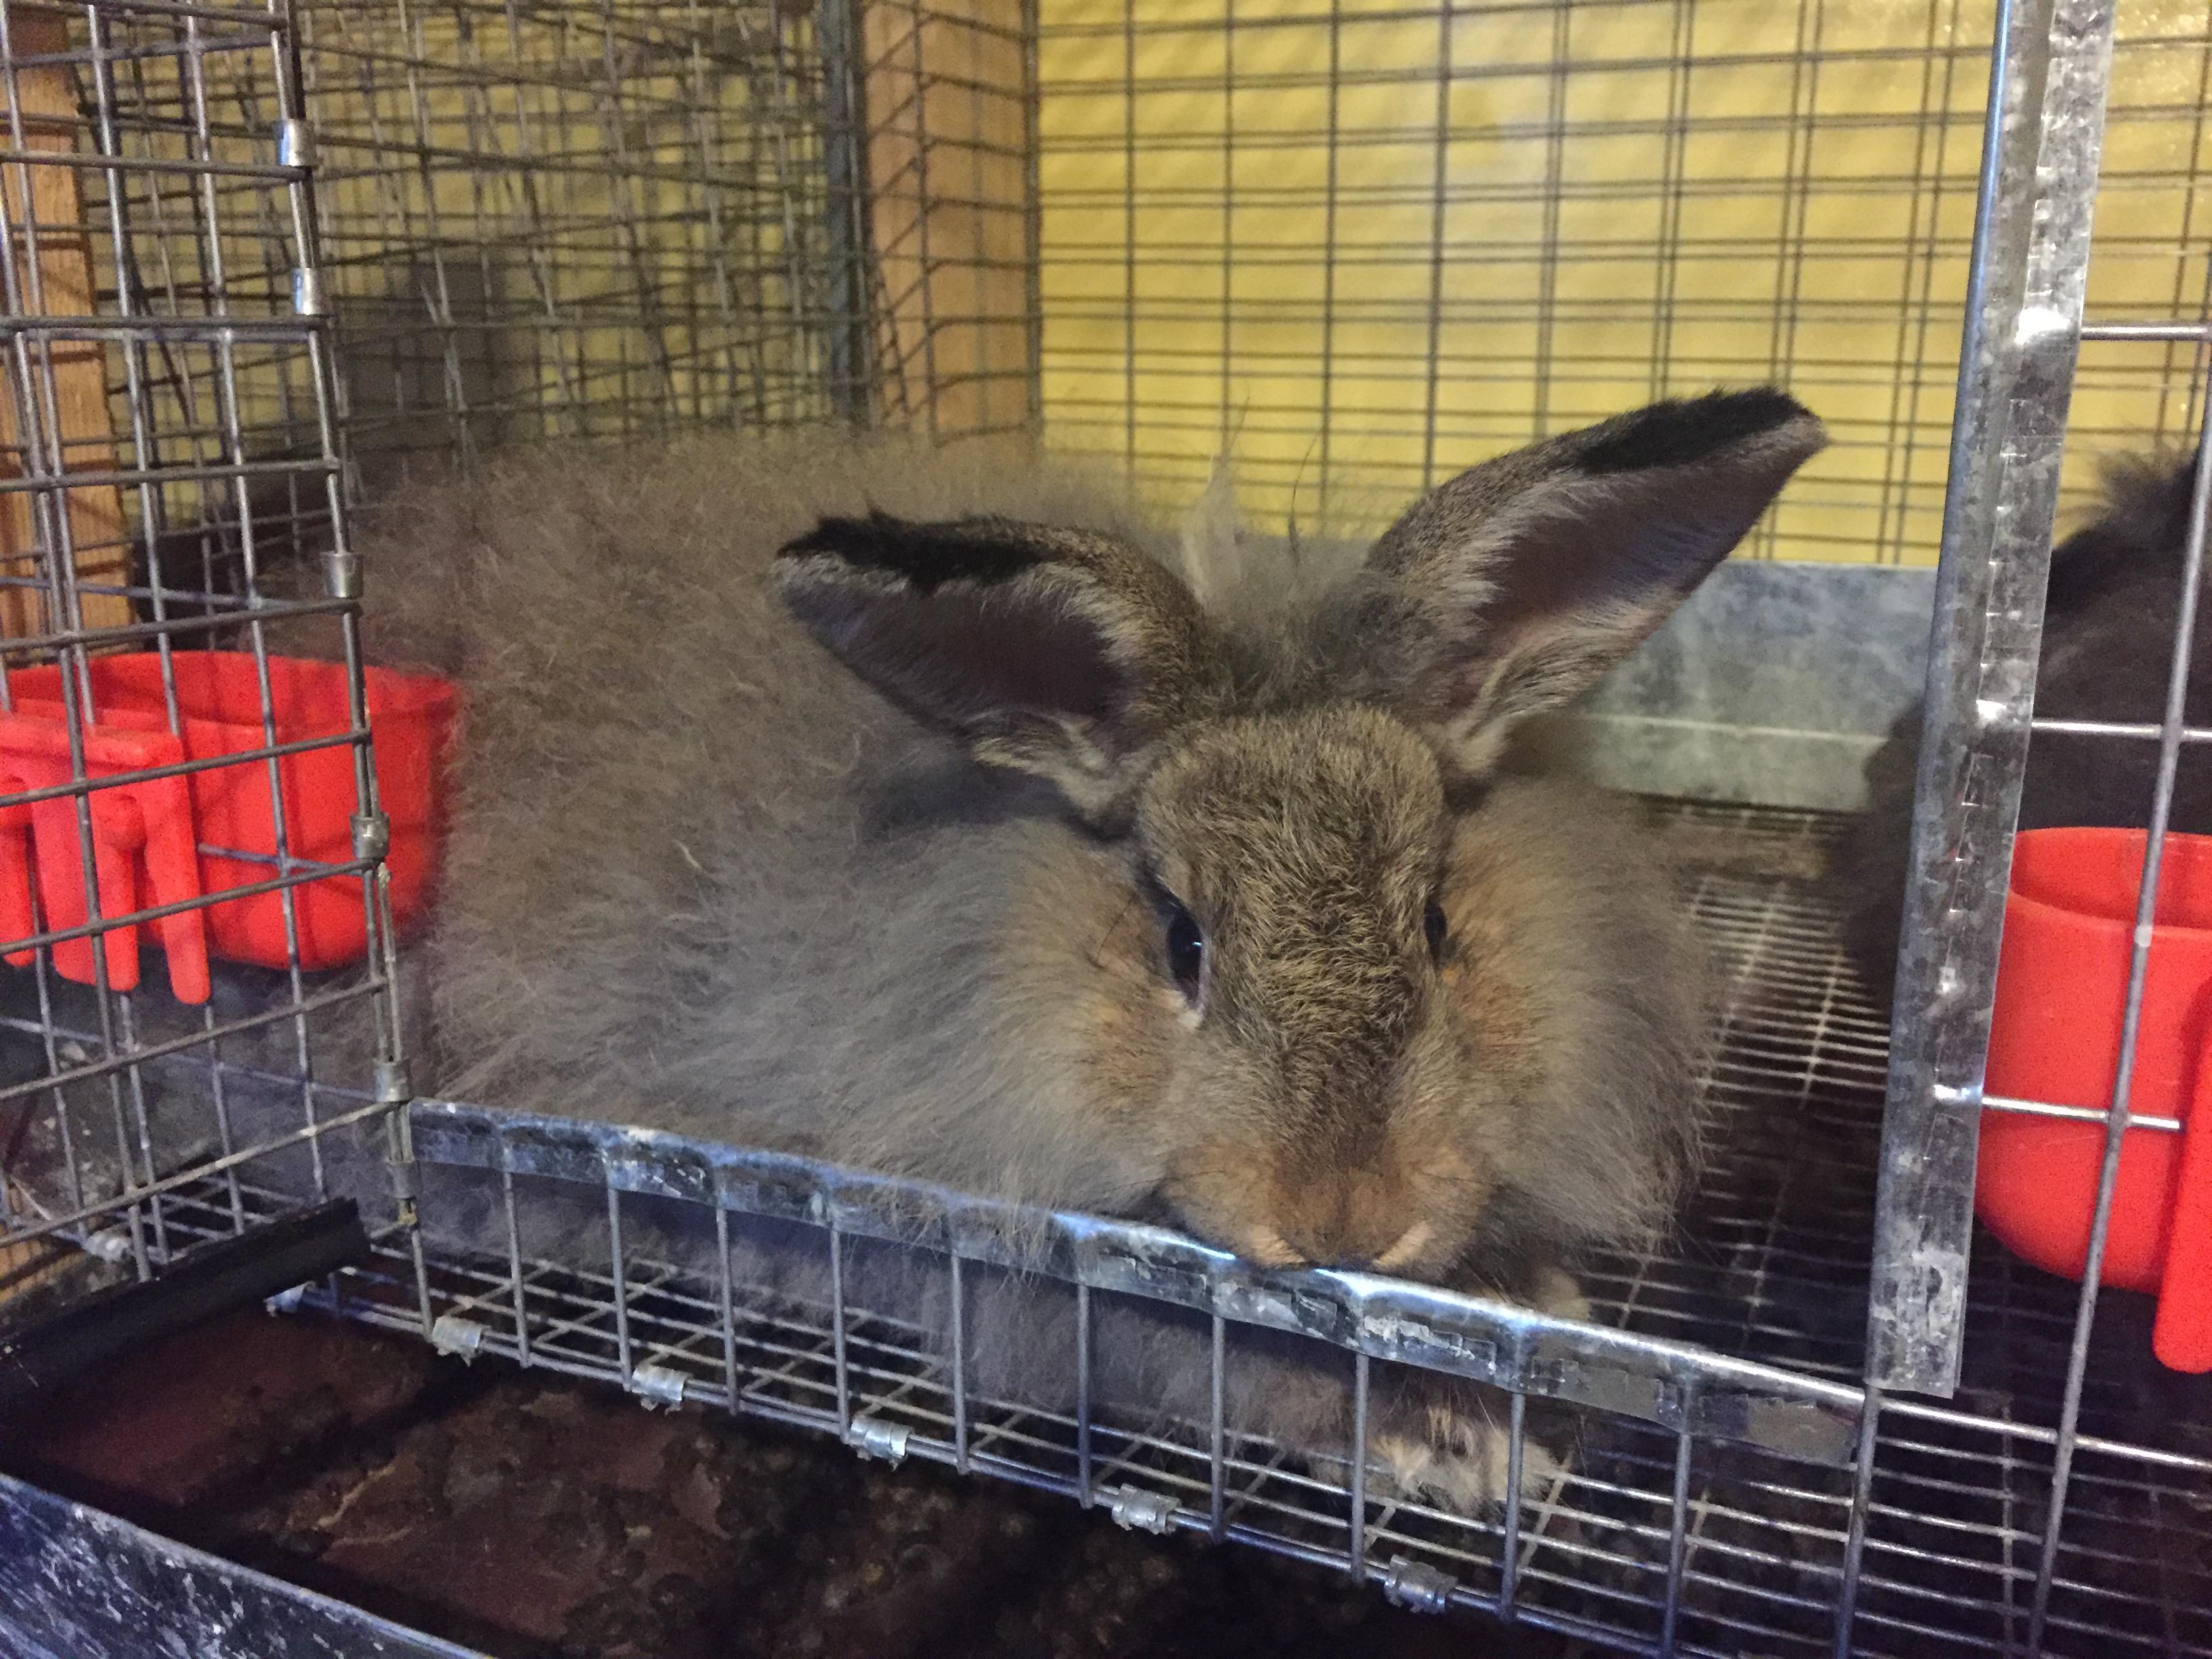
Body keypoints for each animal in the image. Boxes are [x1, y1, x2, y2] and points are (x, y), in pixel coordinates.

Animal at [307, 387, 1831, 1504]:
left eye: (1439, 922)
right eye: (1180, 941)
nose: (1342, 1219)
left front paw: (1533, 1319)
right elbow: (1184, 1347)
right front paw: (1453, 1434)